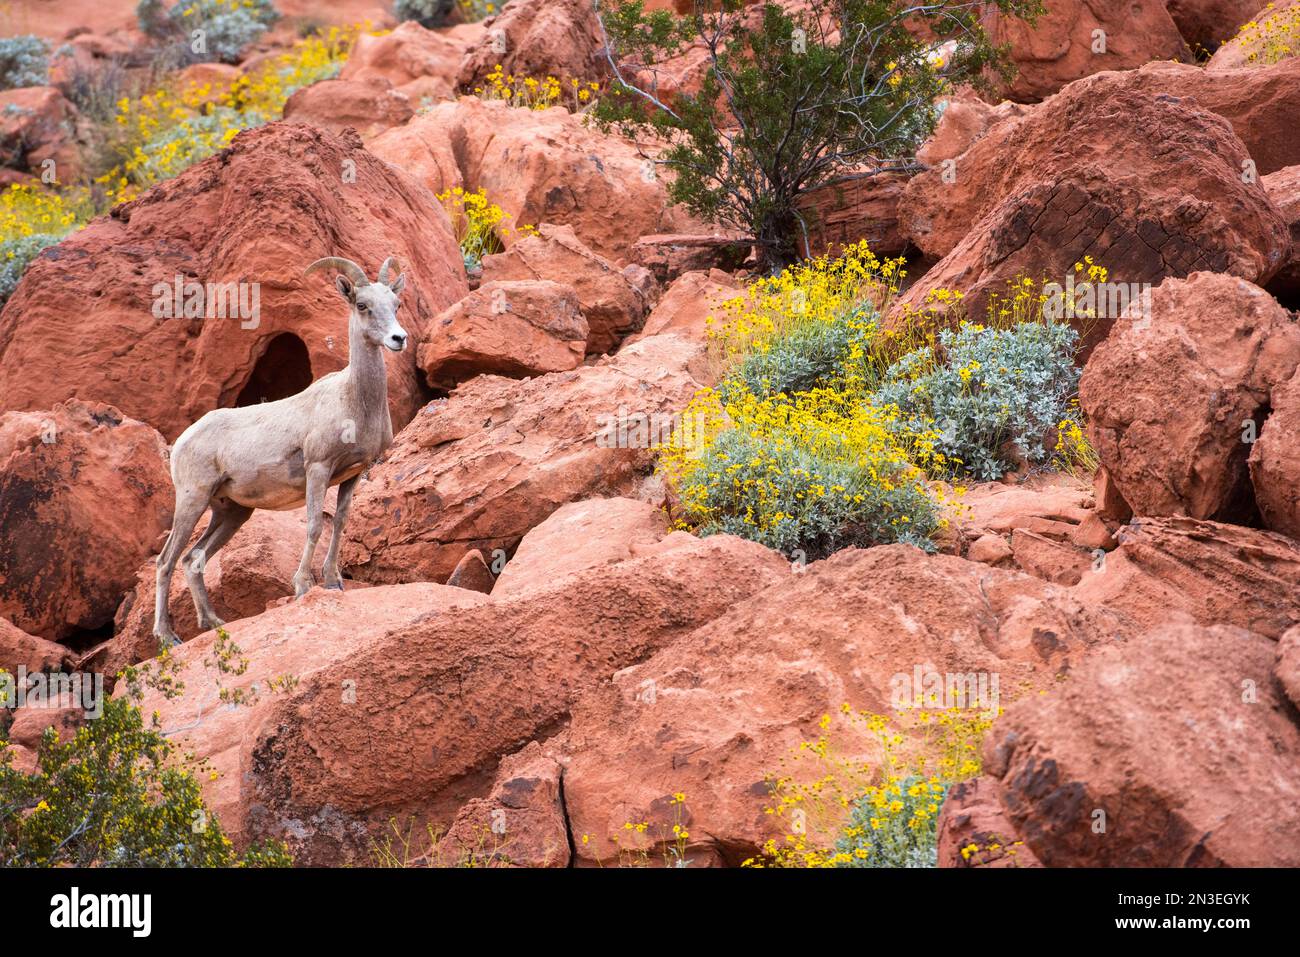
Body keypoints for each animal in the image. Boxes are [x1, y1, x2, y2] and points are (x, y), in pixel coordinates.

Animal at [153, 254, 405, 647]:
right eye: (362, 305)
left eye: (396, 304)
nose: (399, 338)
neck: (354, 402)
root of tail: (181, 442)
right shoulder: (318, 468)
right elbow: (315, 525)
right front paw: (303, 586)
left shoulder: (353, 474)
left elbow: (339, 523)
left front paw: (333, 582)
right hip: (193, 499)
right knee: (166, 561)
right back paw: (168, 637)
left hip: (232, 511)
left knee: (193, 559)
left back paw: (213, 622)